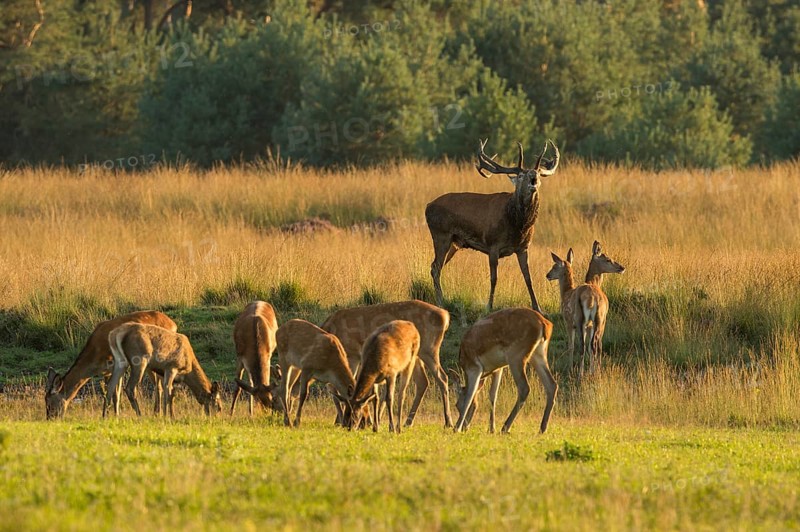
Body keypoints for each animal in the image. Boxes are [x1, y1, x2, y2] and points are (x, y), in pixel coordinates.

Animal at [45, 310, 177, 420]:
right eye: (45, 401)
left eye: (49, 403)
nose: (50, 419)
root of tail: (173, 324)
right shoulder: (107, 371)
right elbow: (112, 393)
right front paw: (112, 416)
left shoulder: (114, 365)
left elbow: (115, 394)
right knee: (158, 385)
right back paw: (157, 413)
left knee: (159, 385)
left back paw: (159, 413)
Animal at [321, 300, 451, 428]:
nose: (343, 422)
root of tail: (445, 316)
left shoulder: (352, 354)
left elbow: (346, 384)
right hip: (416, 356)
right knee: (423, 381)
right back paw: (408, 422)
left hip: (429, 349)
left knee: (442, 377)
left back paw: (448, 422)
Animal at [425, 139, 560, 312]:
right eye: (521, 175)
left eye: (538, 172)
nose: (533, 177)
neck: (517, 225)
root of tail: (427, 206)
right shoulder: (493, 245)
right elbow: (494, 278)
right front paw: (489, 306)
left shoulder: (523, 247)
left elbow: (528, 278)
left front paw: (538, 308)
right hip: (441, 235)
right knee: (435, 267)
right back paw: (440, 302)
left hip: (454, 243)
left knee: (435, 266)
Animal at [545, 242, 625, 375]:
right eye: (608, 259)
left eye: (554, 266)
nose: (548, 275)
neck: (565, 293)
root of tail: (592, 299)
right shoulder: (590, 325)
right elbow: (590, 346)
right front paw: (591, 369)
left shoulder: (568, 321)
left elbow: (571, 346)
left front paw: (570, 368)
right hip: (597, 319)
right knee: (593, 345)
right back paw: (593, 372)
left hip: (581, 319)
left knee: (585, 345)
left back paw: (580, 373)